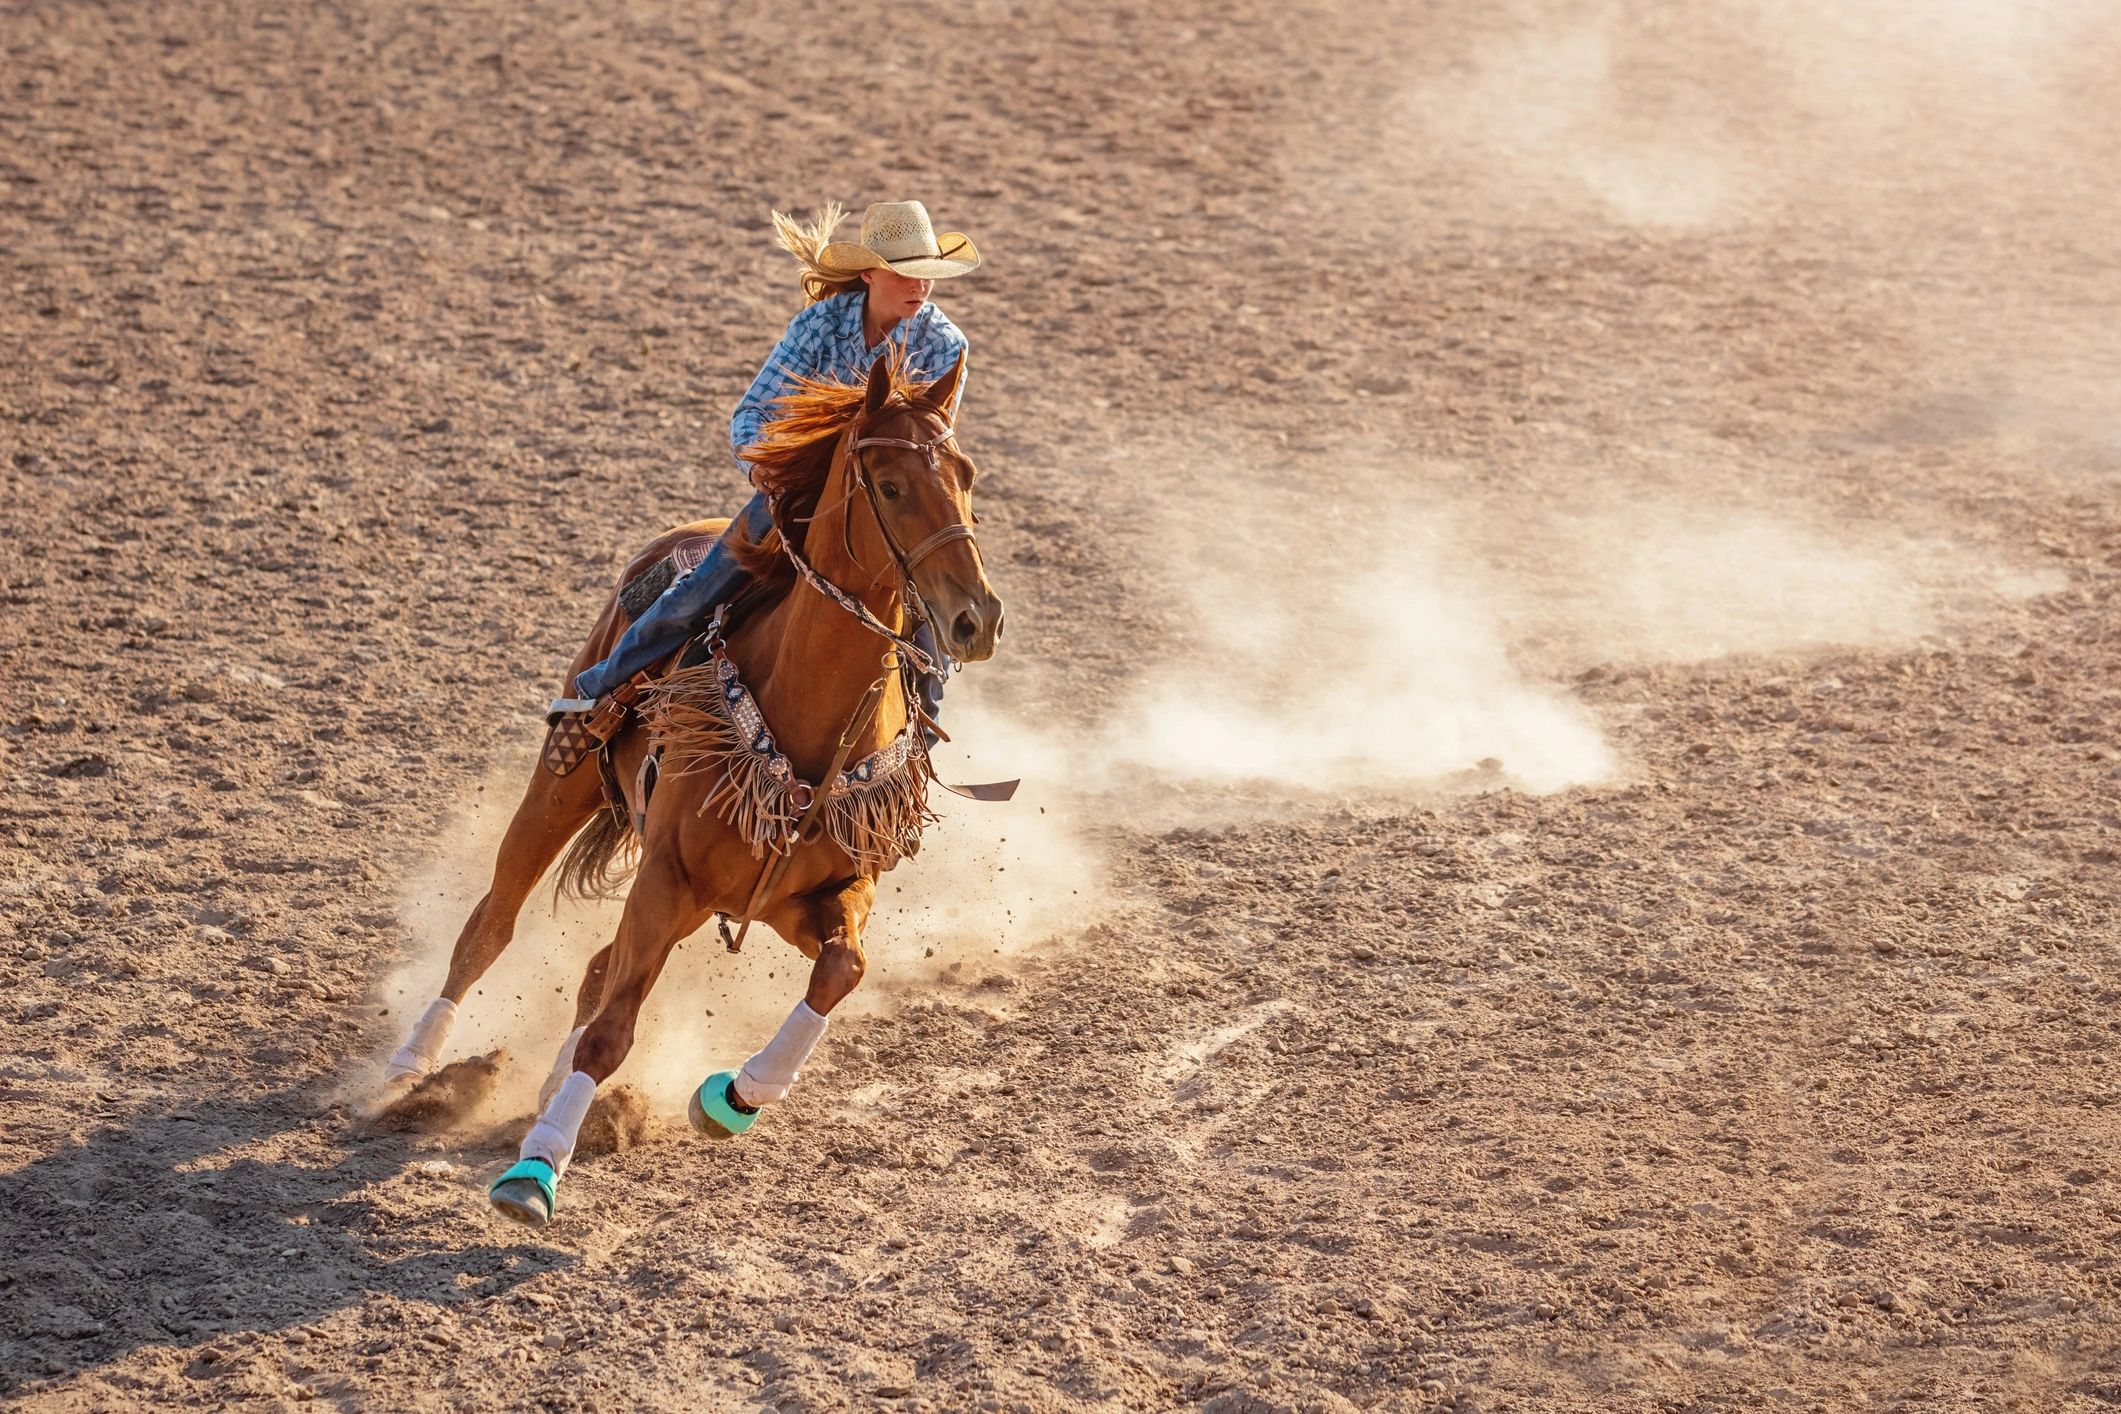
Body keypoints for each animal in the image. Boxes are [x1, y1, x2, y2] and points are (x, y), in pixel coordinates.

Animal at [381, 350, 1000, 1226]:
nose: (976, 619)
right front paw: (533, 1173)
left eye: (966, 474)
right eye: (888, 486)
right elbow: (610, 1032)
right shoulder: (669, 879)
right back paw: (411, 1065)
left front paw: (734, 1097)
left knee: (598, 967)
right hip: (565, 789)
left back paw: (549, 1087)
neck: (809, 721)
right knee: (491, 927)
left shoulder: (809, 895)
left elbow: (842, 970)